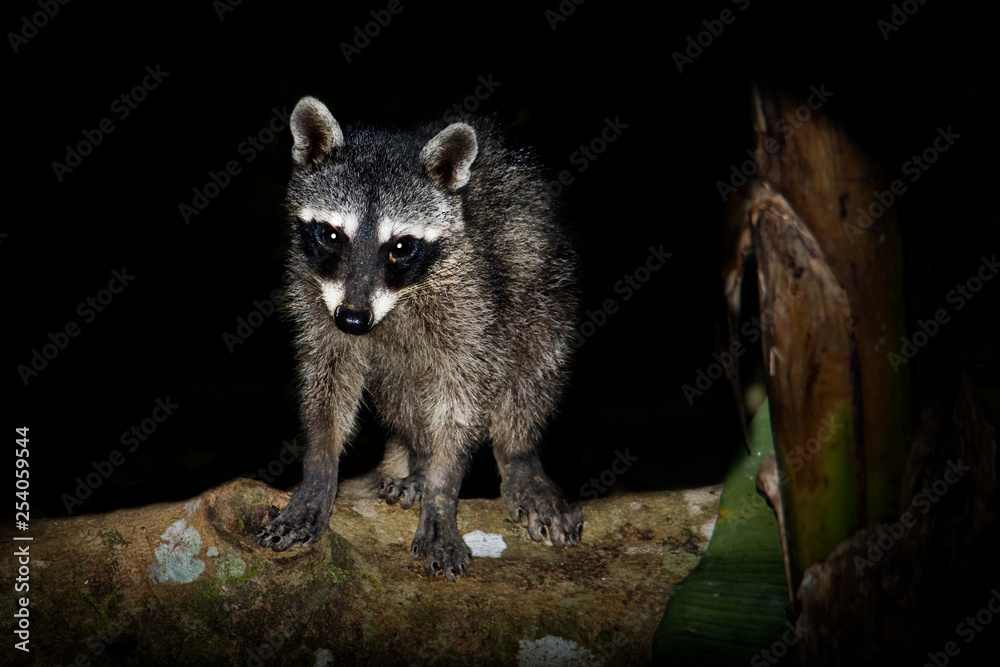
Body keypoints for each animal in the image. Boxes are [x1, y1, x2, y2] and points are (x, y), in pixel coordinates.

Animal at [254, 96, 582, 580]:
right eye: (331, 235)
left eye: (400, 247)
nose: (354, 320)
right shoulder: (314, 293)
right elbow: (328, 380)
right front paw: (320, 470)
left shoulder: (472, 301)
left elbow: (465, 396)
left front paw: (441, 490)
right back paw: (415, 458)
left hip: (545, 291)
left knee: (535, 356)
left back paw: (511, 450)